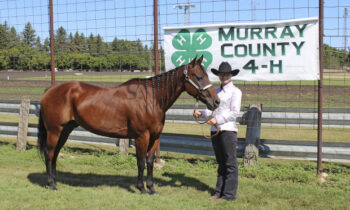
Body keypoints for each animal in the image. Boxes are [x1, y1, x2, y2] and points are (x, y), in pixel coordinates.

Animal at [37, 55, 219, 194]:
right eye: (199, 77)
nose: (216, 102)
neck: (151, 100)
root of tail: (50, 91)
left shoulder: (155, 137)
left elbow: (150, 161)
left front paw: (151, 188)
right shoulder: (141, 137)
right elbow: (141, 162)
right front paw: (141, 188)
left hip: (65, 130)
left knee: (55, 154)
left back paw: (55, 182)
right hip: (54, 131)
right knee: (49, 153)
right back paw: (51, 184)